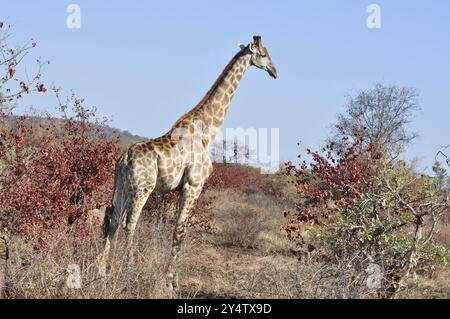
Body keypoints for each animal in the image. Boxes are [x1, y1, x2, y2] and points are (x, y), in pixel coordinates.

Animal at [99, 35, 278, 296]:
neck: (207, 130)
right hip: (142, 188)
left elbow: (177, 229)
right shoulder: (194, 184)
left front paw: (171, 280)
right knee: (129, 223)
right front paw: (171, 282)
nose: (274, 71)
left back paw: (103, 271)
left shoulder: (184, 187)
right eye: (263, 55)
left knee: (111, 219)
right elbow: (180, 230)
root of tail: (123, 160)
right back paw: (128, 269)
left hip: (121, 187)